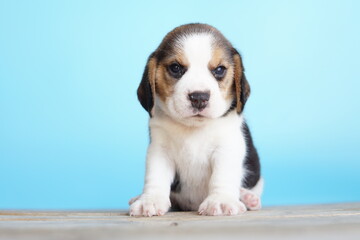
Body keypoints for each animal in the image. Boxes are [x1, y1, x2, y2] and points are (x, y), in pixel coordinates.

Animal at [129, 23, 262, 217]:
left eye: (219, 70)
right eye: (176, 68)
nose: (199, 97)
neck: (193, 128)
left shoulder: (227, 147)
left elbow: (222, 175)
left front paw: (221, 200)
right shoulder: (160, 150)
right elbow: (156, 176)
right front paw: (150, 200)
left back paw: (247, 197)